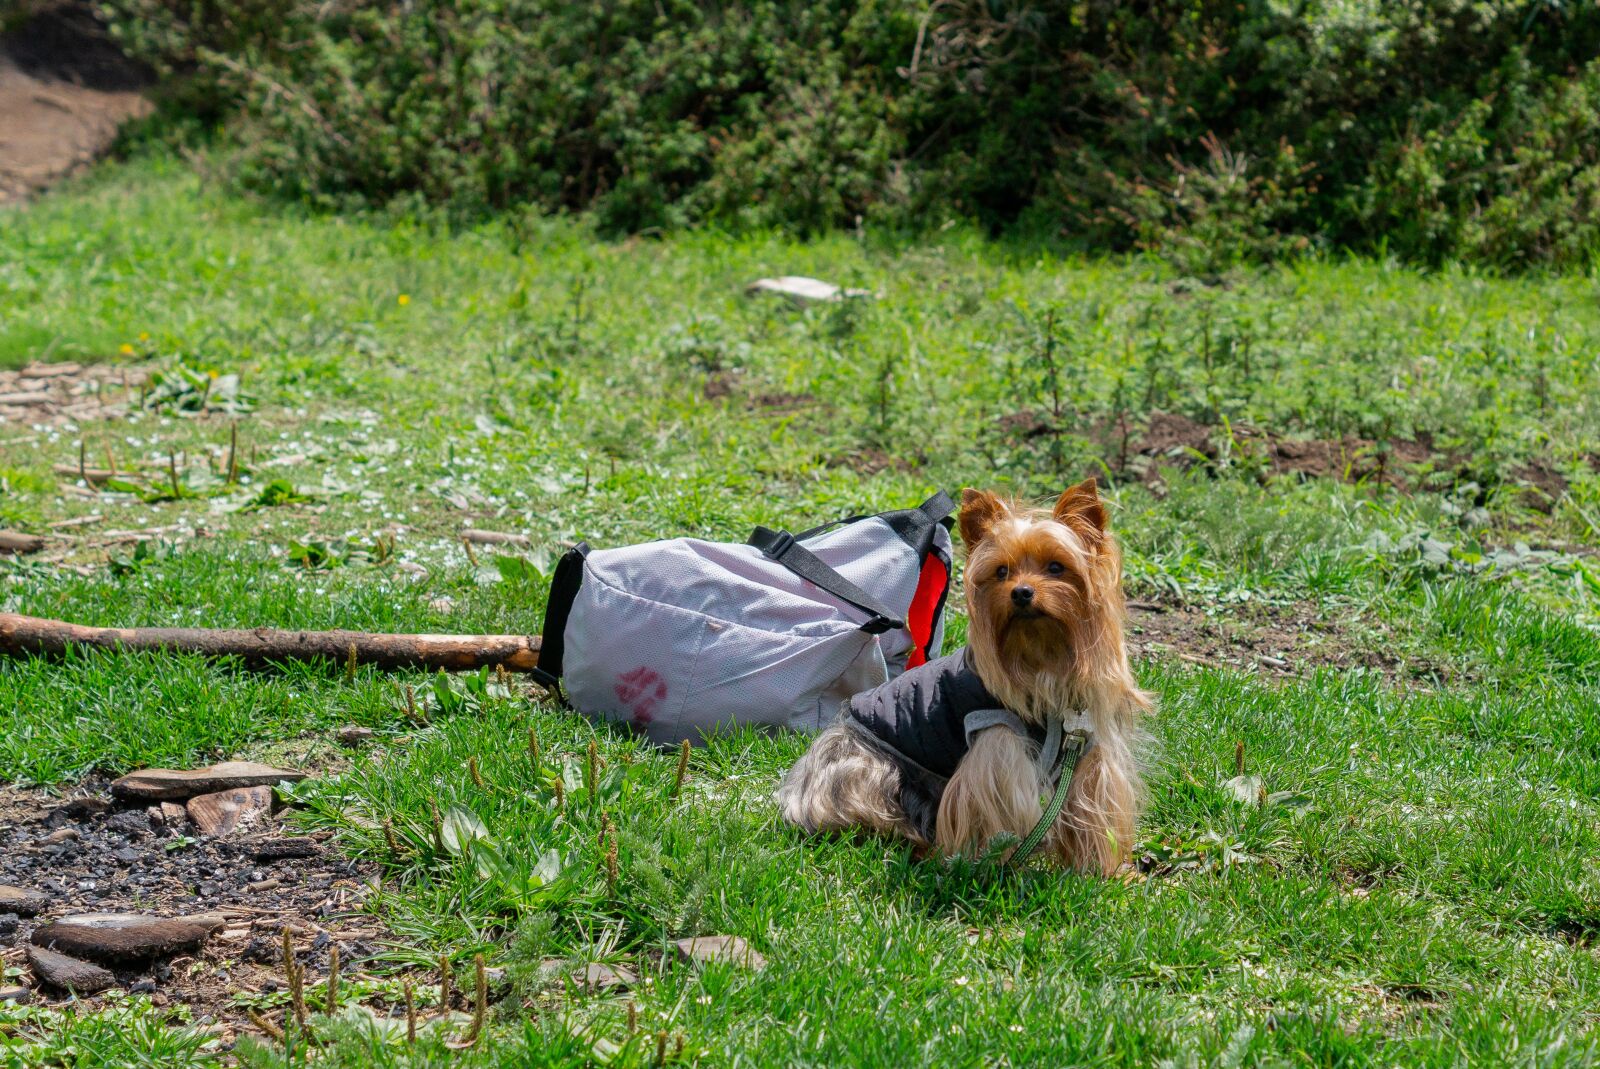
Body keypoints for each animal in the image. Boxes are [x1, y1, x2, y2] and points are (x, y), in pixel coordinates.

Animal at [777, 480, 1145, 870]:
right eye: (1001, 572)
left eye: (1057, 567)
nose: (1021, 592)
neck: (1042, 659)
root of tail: (797, 786)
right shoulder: (994, 740)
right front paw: (983, 865)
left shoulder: (1087, 754)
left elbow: (1090, 812)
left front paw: (1104, 872)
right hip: (867, 770)